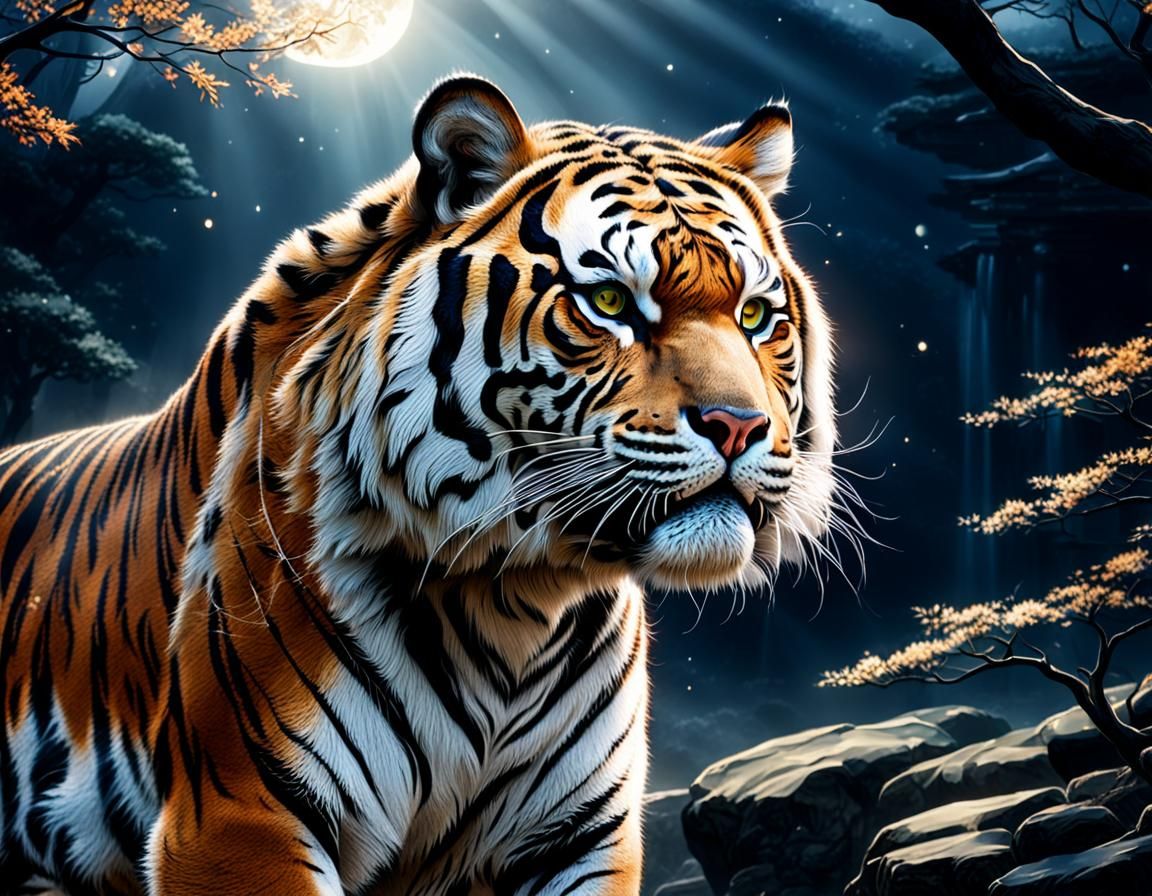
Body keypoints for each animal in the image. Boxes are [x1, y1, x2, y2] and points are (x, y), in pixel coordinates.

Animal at [0, 75, 837, 895]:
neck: (520, 601)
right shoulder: (242, 818)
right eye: (609, 303)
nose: (737, 425)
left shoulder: (582, 836)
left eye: (755, 315)